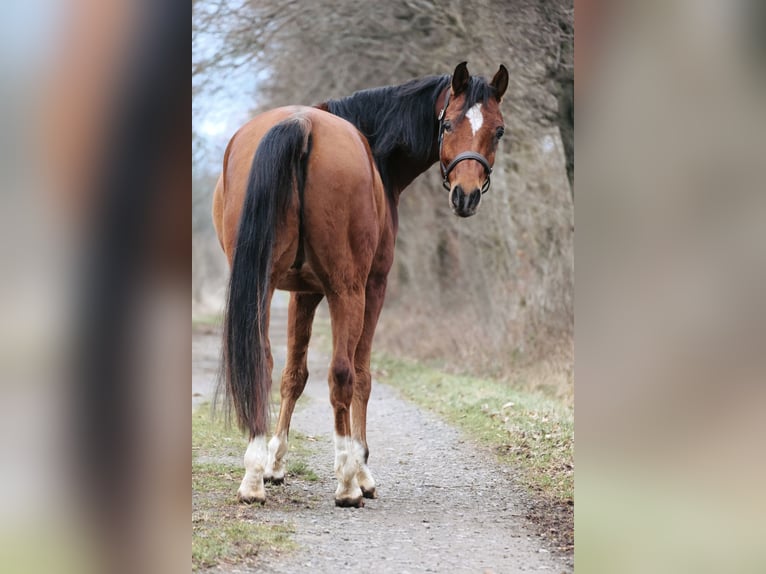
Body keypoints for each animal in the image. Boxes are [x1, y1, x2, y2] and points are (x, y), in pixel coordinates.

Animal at [212, 62, 508, 507]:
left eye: (498, 130)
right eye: (448, 123)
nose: (466, 195)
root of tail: (301, 124)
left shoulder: (302, 292)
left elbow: (293, 375)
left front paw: (274, 464)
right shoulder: (372, 286)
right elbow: (363, 377)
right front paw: (362, 468)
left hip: (262, 286)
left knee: (263, 361)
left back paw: (252, 476)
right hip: (347, 289)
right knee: (343, 373)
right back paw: (347, 484)